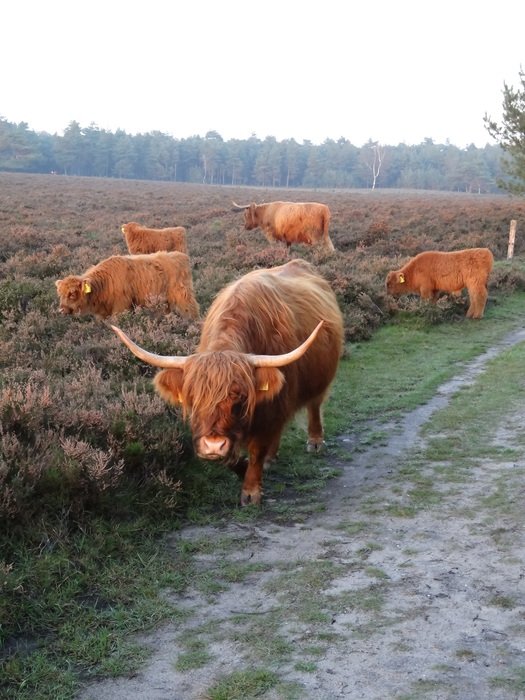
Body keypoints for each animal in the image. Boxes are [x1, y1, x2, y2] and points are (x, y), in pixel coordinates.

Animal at [56, 251, 200, 320]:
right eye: (60, 294)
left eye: (72, 294)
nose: (61, 310)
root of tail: (181, 255)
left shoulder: (121, 306)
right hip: (165, 302)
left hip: (183, 295)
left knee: (192, 310)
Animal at [110, 258, 344, 505]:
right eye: (193, 399)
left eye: (239, 396)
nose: (213, 444)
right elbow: (231, 458)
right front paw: (243, 466)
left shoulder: (270, 408)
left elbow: (257, 448)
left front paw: (251, 492)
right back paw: (272, 457)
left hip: (318, 380)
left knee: (314, 405)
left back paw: (315, 442)